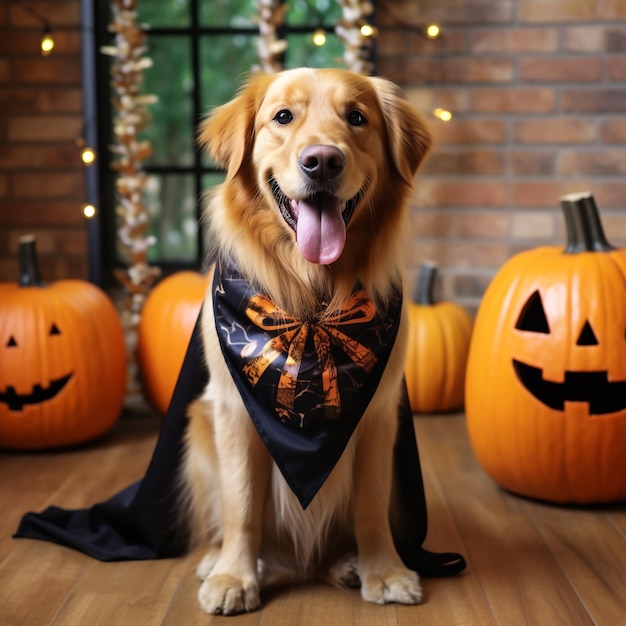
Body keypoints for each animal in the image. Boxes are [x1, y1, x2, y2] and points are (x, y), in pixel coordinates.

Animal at [180, 66, 428, 612]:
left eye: (356, 118)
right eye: (283, 117)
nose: (323, 161)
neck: (312, 302)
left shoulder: (378, 414)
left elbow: (370, 505)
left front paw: (384, 572)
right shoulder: (233, 411)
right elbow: (241, 505)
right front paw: (233, 577)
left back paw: (347, 562)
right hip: (200, 428)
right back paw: (219, 562)